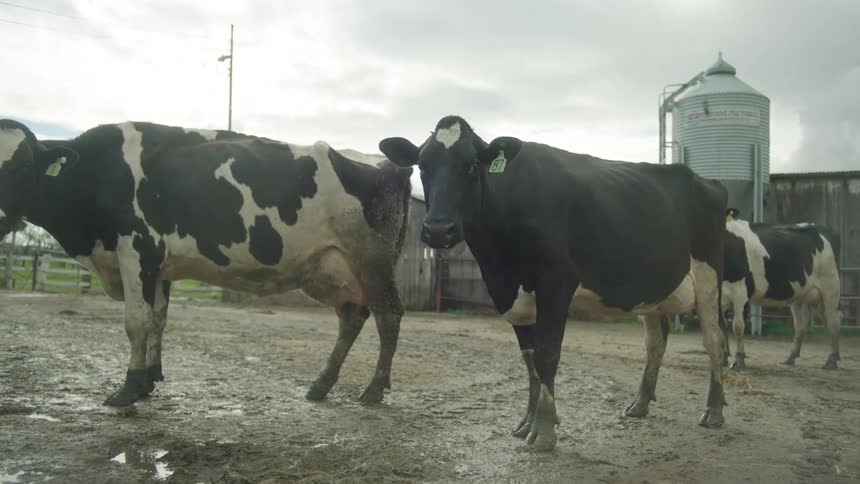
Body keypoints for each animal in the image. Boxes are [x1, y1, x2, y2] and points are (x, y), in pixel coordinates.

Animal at [0, 118, 412, 407]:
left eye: (22, 168)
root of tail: (391, 165)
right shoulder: (159, 266)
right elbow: (158, 320)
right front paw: (149, 379)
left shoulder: (137, 249)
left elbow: (136, 322)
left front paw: (128, 387)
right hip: (329, 268)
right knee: (353, 317)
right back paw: (321, 384)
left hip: (372, 260)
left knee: (388, 315)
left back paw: (374, 388)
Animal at [379, 115, 729, 451]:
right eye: (423, 166)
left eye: (472, 165)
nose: (439, 230)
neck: (500, 259)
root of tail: (705, 180)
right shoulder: (511, 293)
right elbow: (530, 359)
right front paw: (527, 422)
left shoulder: (556, 281)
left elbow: (547, 354)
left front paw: (544, 431)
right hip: (652, 291)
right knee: (656, 342)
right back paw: (639, 405)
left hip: (710, 277)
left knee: (715, 340)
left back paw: (714, 411)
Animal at [722, 217, 842, 370]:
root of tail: (821, 228)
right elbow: (722, 326)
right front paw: (723, 359)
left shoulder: (741, 293)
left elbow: (737, 326)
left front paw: (738, 360)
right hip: (801, 296)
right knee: (802, 324)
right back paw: (791, 357)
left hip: (830, 288)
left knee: (834, 321)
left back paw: (832, 360)